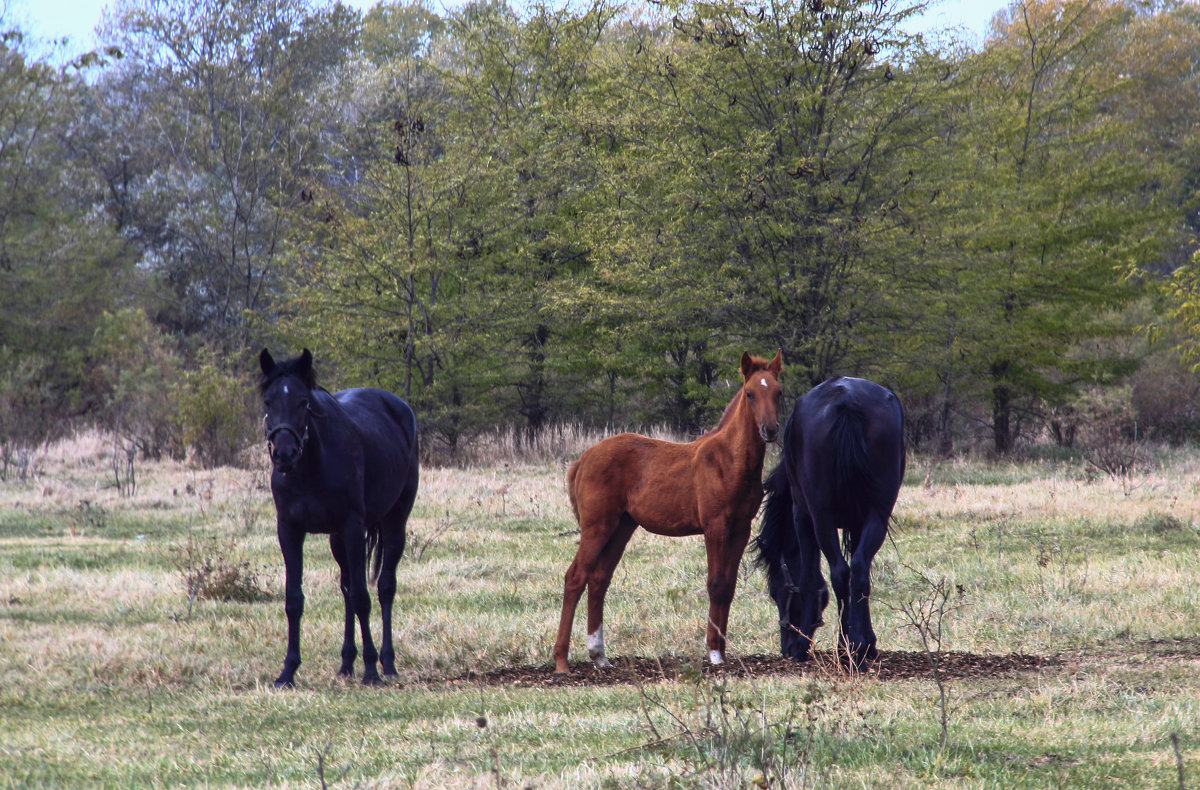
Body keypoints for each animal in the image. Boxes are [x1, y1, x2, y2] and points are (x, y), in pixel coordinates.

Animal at [256, 348, 417, 686]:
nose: (285, 454)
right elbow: (294, 600)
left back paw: (387, 662)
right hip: (336, 539)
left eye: (304, 401)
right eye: (268, 401)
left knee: (385, 587)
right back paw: (346, 663)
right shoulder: (289, 530)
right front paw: (287, 671)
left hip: (394, 522)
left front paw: (371, 670)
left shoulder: (353, 527)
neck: (311, 468)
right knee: (345, 589)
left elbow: (362, 596)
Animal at [549, 348, 782, 672]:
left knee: (598, 579)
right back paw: (561, 660)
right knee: (575, 577)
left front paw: (722, 651)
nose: (769, 430)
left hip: (622, 527)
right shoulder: (715, 526)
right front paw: (713, 653)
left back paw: (599, 655)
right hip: (597, 526)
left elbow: (729, 586)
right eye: (749, 393)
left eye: (778, 392)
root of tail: (582, 459)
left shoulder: (741, 528)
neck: (729, 461)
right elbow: (716, 584)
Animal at [753, 374, 902, 662]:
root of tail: (847, 402)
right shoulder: (858, 523)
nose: (786, 648)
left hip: (821, 520)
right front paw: (868, 640)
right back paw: (858, 645)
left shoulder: (802, 517)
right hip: (877, 515)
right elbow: (861, 574)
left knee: (840, 573)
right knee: (858, 569)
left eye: (777, 592)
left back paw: (847, 645)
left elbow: (810, 578)